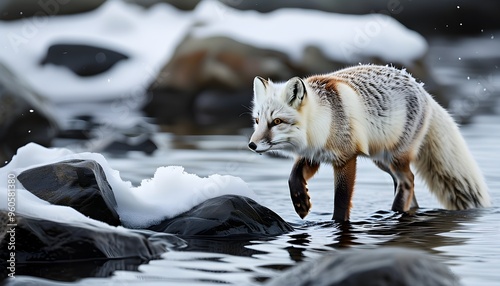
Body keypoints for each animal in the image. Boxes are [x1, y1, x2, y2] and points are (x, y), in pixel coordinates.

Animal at [248, 65, 490, 221]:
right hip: (381, 161)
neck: (323, 121)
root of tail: (423, 90)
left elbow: (341, 201)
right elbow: (293, 177)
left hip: (394, 158)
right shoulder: (313, 155)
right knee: (405, 185)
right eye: (257, 121)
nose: (252, 145)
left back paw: (396, 212)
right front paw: (301, 202)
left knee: (408, 180)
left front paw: (338, 224)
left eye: (276, 122)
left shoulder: (346, 159)